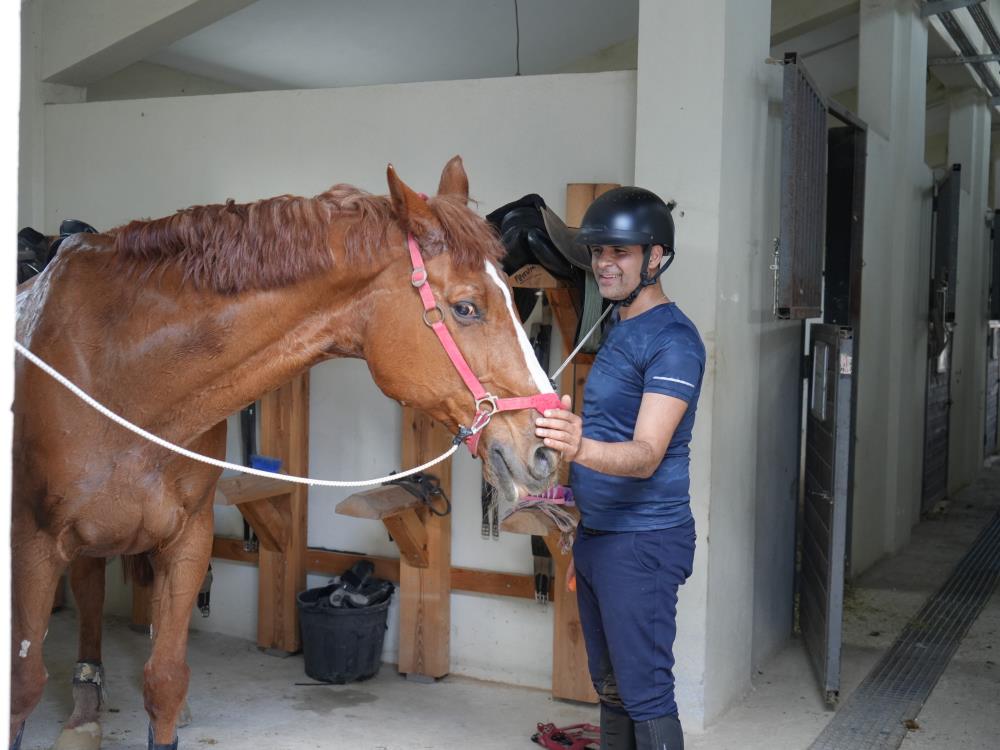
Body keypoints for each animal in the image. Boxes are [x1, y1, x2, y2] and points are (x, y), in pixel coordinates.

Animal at [13, 156, 564, 748]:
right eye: (466, 307)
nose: (544, 448)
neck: (123, 376)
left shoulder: (187, 542)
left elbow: (165, 682)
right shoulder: (33, 546)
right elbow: (23, 685)